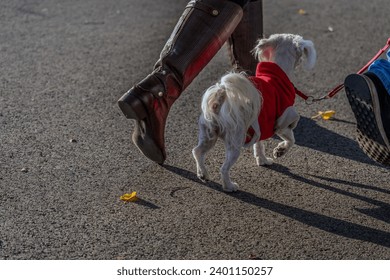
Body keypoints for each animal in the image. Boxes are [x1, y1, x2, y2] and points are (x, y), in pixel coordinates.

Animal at [192, 32, 316, 191]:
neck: (278, 71)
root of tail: (218, 101)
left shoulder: (261, 124)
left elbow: (259, 144)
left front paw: (262, 159)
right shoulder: (282, 121)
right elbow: (291, 137)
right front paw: (280, 150)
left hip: (208, 134)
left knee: (197, 151)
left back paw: (203, 174)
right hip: (234, 141)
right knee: (224, 168)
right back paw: (229, 186)